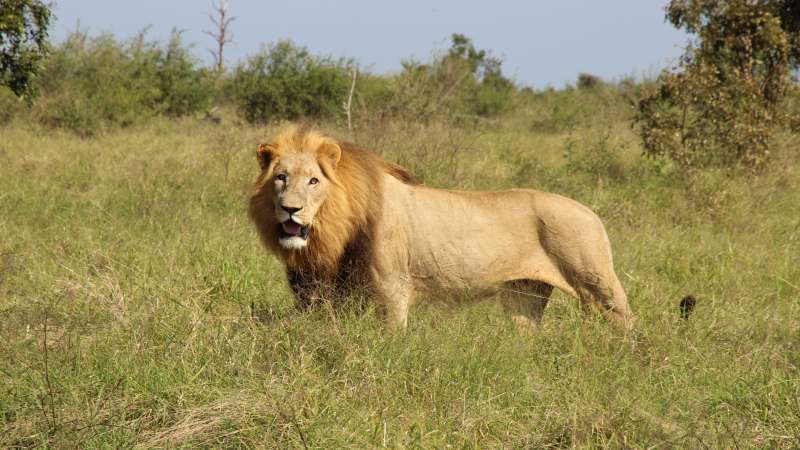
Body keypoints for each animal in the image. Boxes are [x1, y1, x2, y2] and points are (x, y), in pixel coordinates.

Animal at [249, 125, 634, 330]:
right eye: (281, 178)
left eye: (313, 181)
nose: (290, 210)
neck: (333, 231)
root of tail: (591, 212)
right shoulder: (323, 293)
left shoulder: (393, 289)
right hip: (524, 294)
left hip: (597, 281)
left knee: (626, 321)